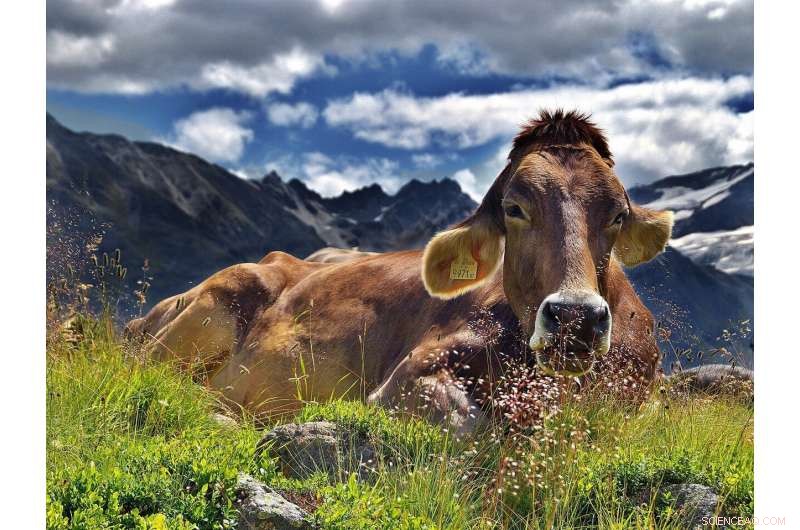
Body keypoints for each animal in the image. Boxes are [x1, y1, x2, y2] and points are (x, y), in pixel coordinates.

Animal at [126, 110, 673, 434]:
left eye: (617, 214)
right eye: (514, 208)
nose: (575, 318)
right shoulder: (408, 376)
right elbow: (469, 425)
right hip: (216, 302)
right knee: (162, 379)